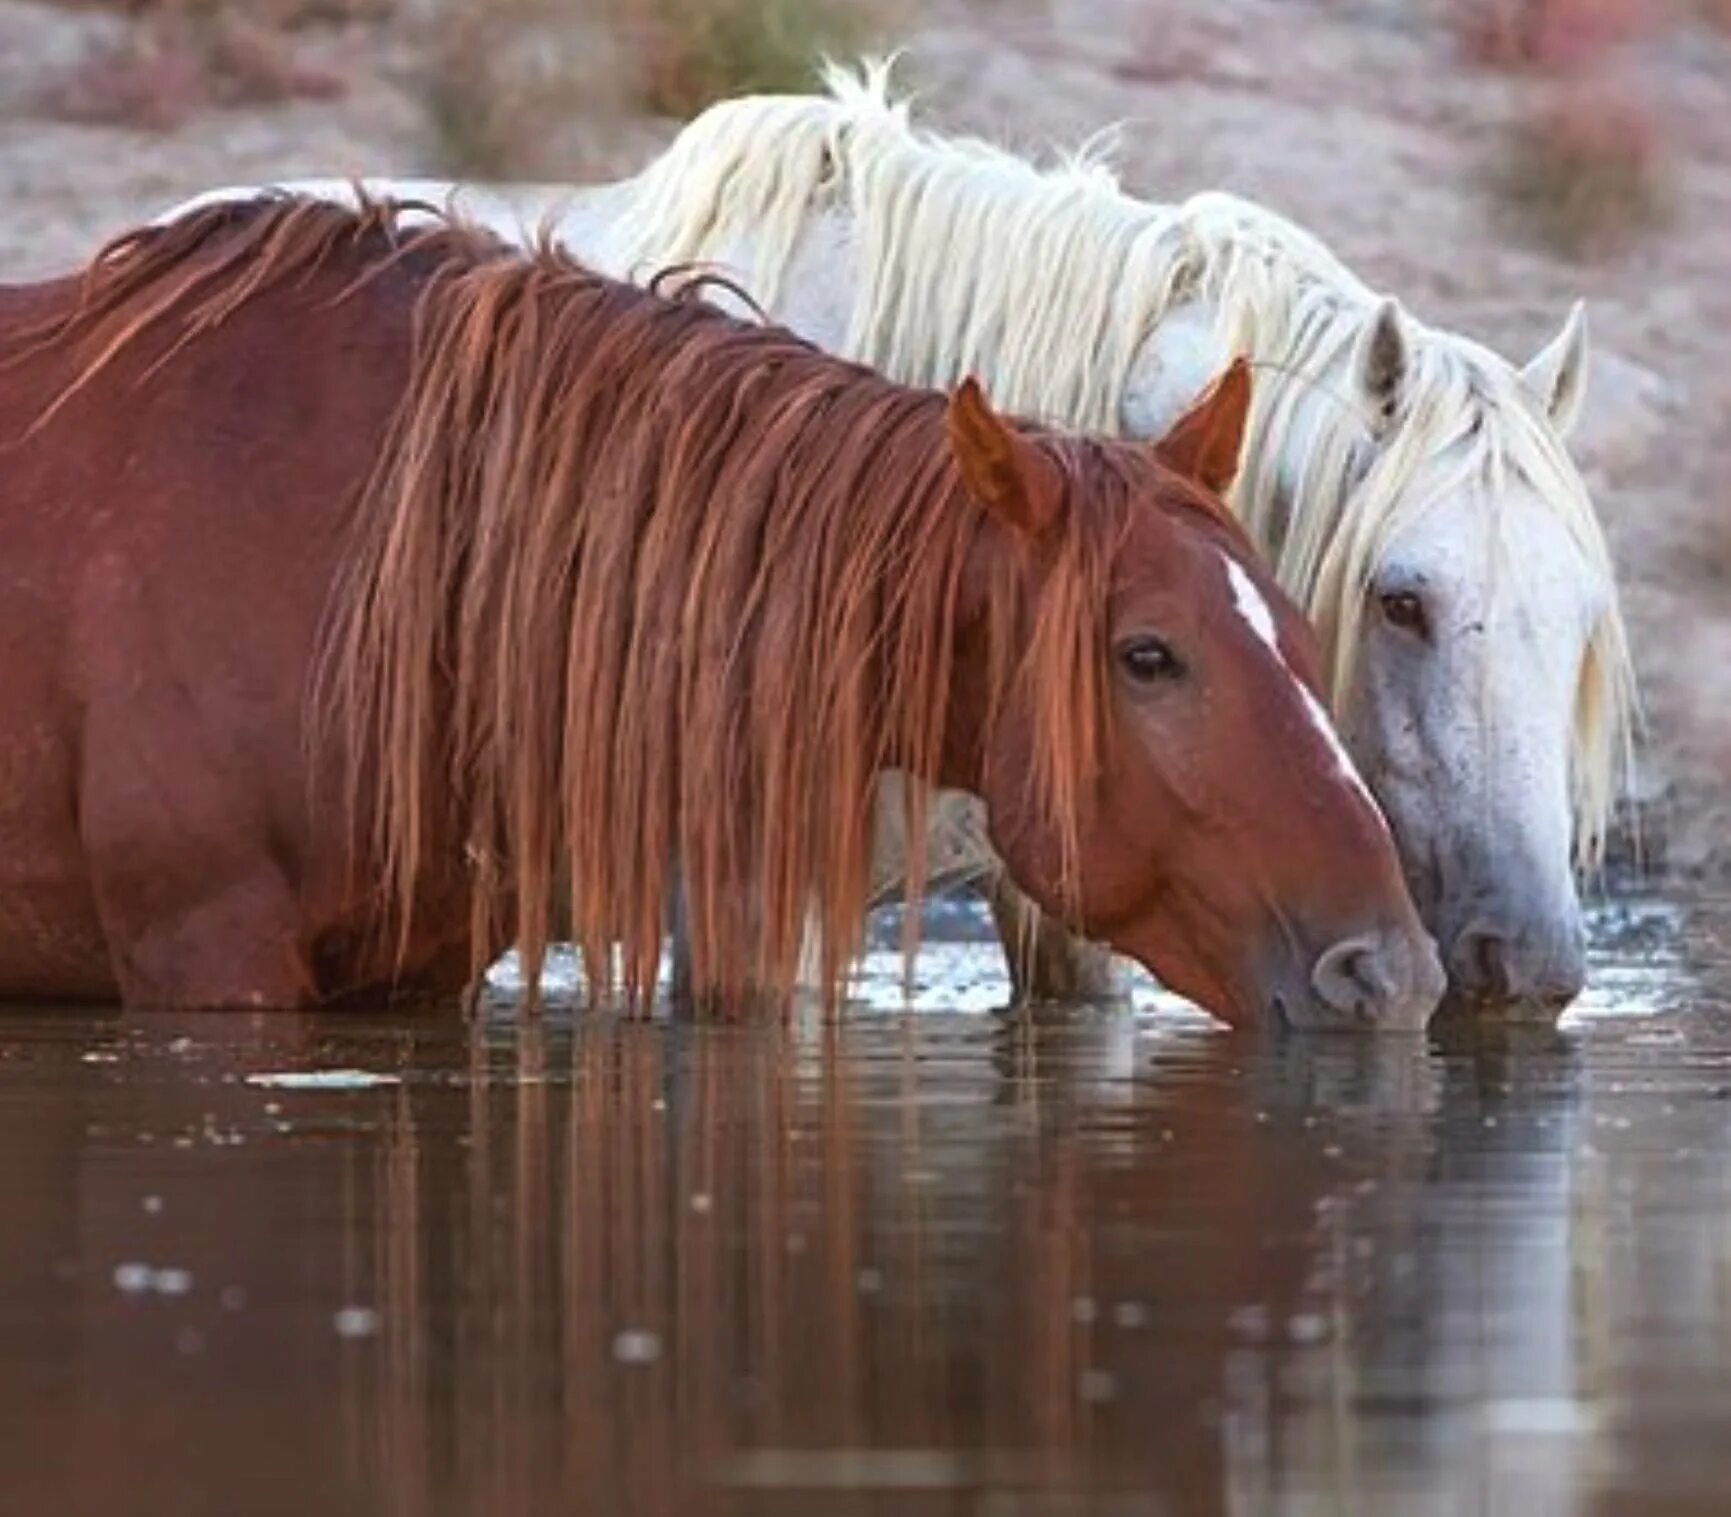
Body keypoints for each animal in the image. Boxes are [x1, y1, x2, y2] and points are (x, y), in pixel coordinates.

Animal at [0, 195, 1440, 1025]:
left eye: (1306, 635)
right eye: (1147, 655)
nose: (1387, 973)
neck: (356, 550)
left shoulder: (416, 972)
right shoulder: (208, 963)